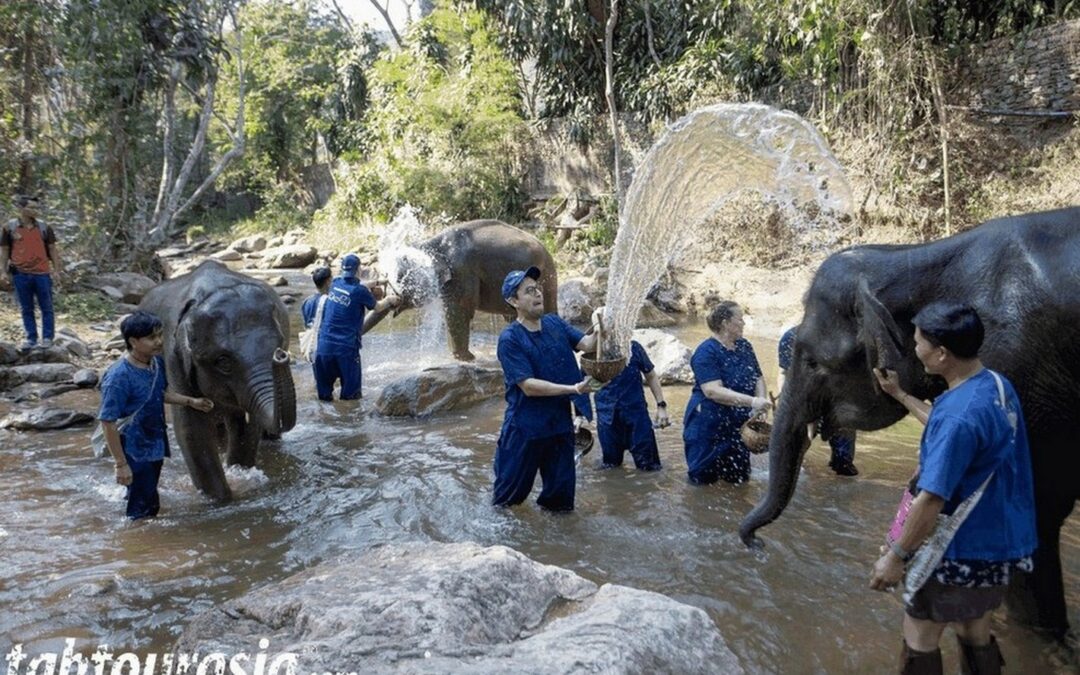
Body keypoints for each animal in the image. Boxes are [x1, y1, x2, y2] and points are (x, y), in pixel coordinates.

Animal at [141, 260, 300, 503]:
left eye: (279, 344)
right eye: (223, 361)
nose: (281, 356)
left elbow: (246, 425)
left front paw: (239, 475)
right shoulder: (174, 356)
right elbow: (191, 428)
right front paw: (220, 499)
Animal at [369, 220, 557, 358]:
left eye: (400, 279)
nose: (390, 296)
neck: (430, 243)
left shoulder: (462, 270)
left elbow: (458, 310)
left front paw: (465, 359)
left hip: (545, 279)